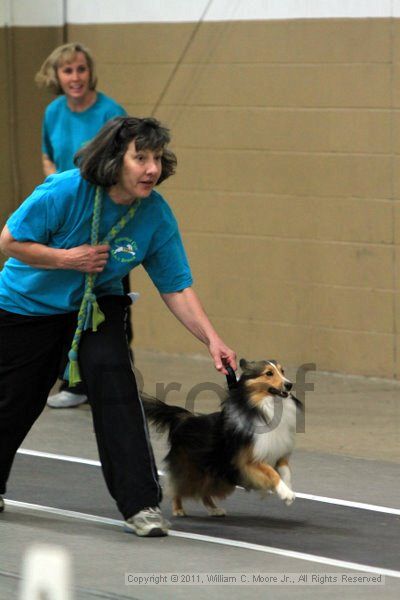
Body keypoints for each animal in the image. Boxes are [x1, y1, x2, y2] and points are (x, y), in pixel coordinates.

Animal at [142, 358, 302, 516]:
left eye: (282, 371)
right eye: (269, 373)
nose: (289, 385)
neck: (266, 405)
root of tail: (184, 418)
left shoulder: (279, 452)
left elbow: (286, 471)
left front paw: (288, 489)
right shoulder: (249, 460)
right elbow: (272, 473)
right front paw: (286, 494)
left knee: (203, 490)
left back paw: (214, 509)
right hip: (191, 468)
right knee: (178, 485)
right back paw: (178, 509)